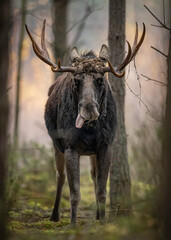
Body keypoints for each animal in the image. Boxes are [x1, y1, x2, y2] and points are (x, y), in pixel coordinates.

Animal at [25, 20, 146, 225]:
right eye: (76, 80)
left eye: (100, 80)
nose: (89, 109)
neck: (90, 131)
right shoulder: (70, 146)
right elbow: (75, 193)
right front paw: (73, 224)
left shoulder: (106, 145)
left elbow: (101, 190)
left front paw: (103, 222)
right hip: (56, 144)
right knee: (60, 176)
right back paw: (54, 215)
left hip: (91, 152)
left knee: (93, 175)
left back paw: (96, 215)